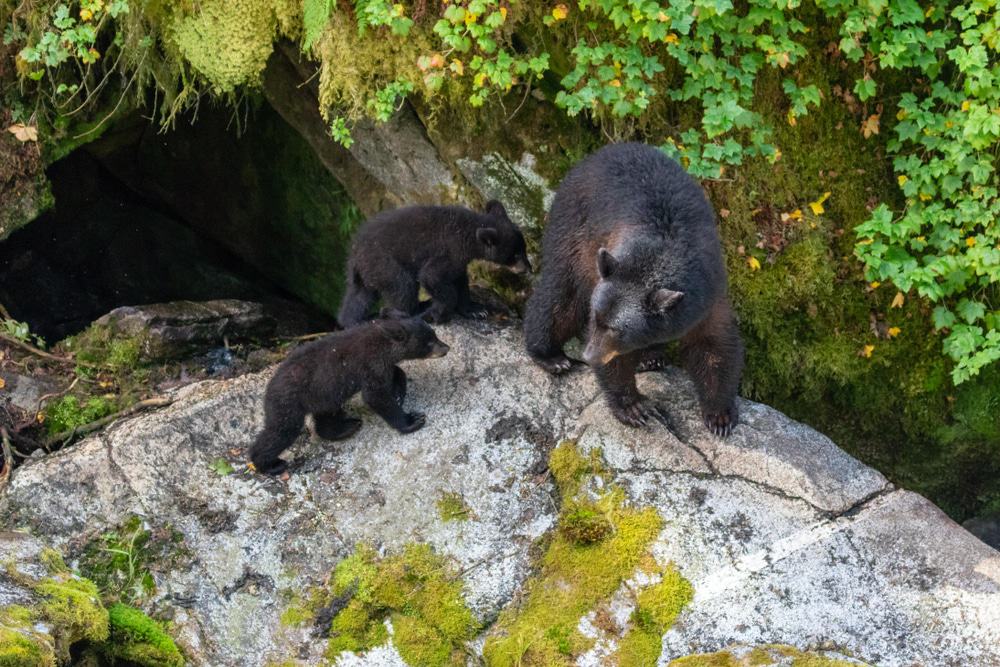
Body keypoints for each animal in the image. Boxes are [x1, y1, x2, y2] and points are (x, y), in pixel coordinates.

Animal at [249, 310, 450, 475]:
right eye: (429, 342)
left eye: (434, 333)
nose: (446, 348)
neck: (382, 341)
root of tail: (269, 390)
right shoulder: (370, 363)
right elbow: (375, 395)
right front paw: (412, 420)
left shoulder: (380, 365)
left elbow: (396, 373)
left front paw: (399, 392)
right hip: (289, 403)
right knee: (281, 431)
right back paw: (269, 465)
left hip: (323, 396)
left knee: (325, 418)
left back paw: (346, 428)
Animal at [337, 200, 532, 327]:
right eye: (515, 255)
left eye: (524, 249)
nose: (527, 269)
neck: (468, 234)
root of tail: (354, 255)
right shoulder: (450, 250)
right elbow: (432, 277)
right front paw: (439, 314)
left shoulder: (459, 260)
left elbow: (460, 280)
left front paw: (475, 310)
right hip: (385, 264)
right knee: (403, 286)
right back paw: (413, 310)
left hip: (367, 273)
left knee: (359, 297)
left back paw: (353, 321)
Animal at [523, 142, 744, 436]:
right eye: (596, 320)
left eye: (616, 328)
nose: (589, 356)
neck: (661, 253)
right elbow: (617, 360)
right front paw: (634, 407)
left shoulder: (708, 293)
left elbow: (714, 344)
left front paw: (719, 415)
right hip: (573, 230)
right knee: (562, 294)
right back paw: (550, 356)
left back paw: (651, 357)